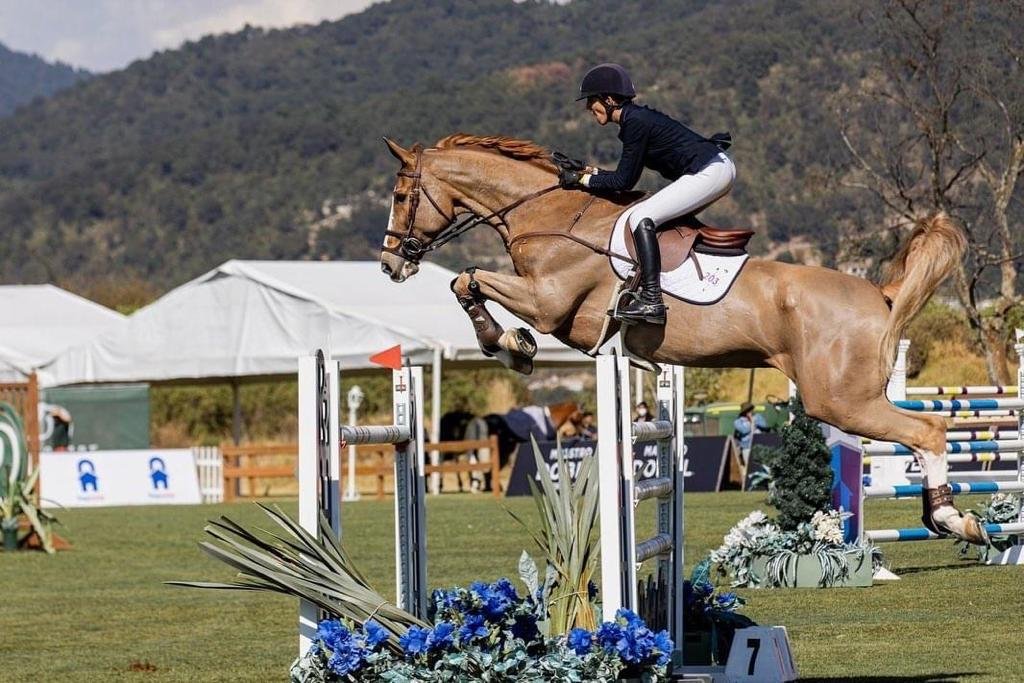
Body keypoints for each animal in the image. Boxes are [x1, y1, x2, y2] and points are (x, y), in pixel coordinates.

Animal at [377, 133, 984, 545]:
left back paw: (954, 519)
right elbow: (466, 280)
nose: (389, 264)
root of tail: (880, 292)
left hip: (838, 399)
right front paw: (509, 342)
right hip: (849, 397)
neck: (547, 213)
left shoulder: (549, 305)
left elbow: (468, 279)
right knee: (921, 433)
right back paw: (945, 518)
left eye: (403, 195)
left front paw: (506, 342)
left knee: (928, 430)